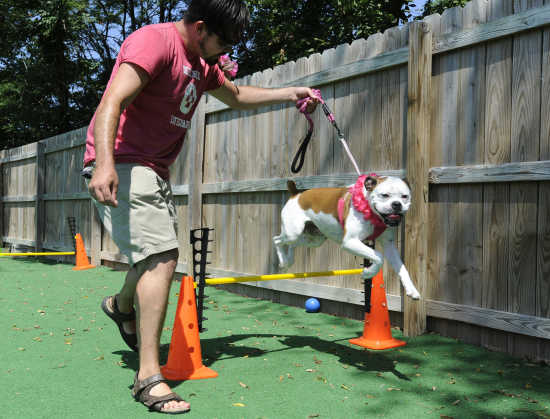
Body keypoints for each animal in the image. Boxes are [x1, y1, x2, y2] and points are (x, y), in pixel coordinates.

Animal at [272, 175, 422, 302]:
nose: (397, 204)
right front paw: (368, 273)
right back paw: (283, 261)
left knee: (293, 244)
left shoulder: (389, 246)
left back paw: (288, 261)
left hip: (314, 239)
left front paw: (412, 290)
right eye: (384, 195)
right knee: (277, 240)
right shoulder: (350, 242)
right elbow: (379, 256)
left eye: (405, 196)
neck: (371, 211)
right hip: (293, 233)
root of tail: (296, 194)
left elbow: (402, 268)